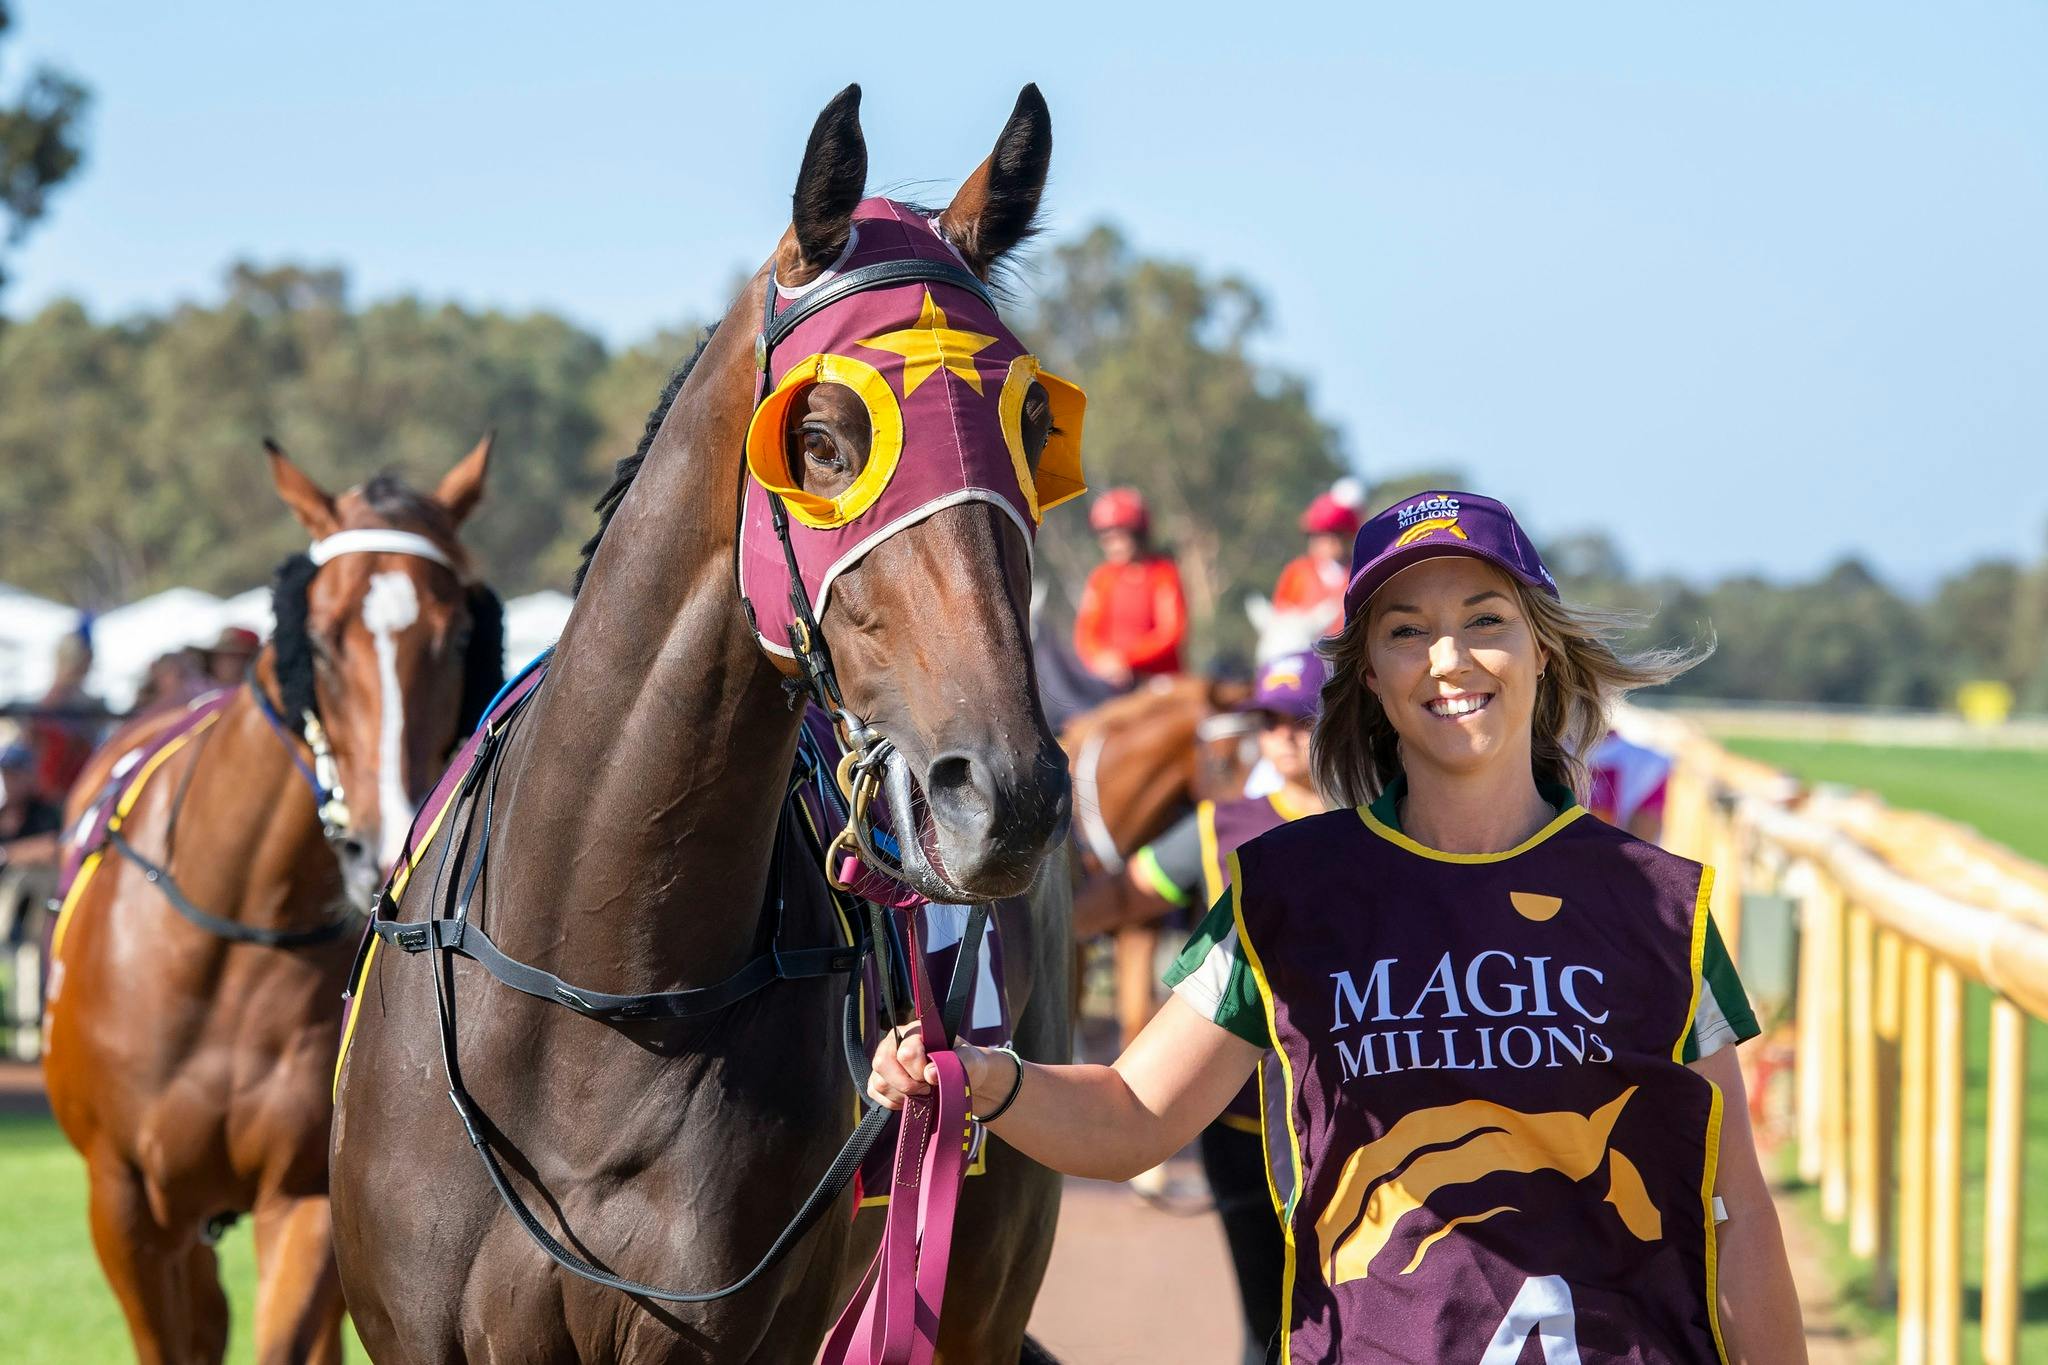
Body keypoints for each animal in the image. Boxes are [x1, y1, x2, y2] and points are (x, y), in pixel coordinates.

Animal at [44, 439, 499, 1365]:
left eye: (460, 634)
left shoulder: (305, 1193)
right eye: (319, 638)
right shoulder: (127, 1203)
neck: (234, 939)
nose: (382, 839)